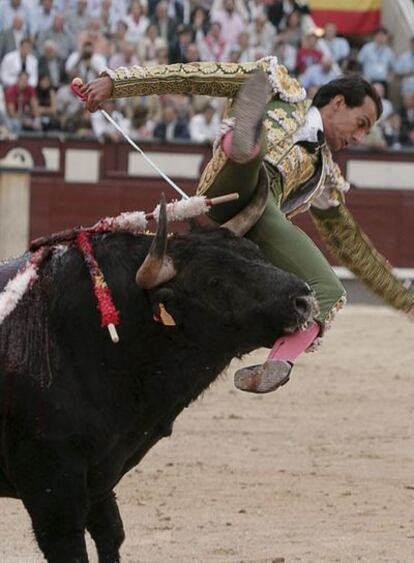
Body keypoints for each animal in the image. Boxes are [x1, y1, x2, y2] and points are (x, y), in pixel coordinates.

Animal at [0, 193, 314, 560]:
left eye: (257, 253)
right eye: (213, 283)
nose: (303, 300)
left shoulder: (101, 479)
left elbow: (111, 534)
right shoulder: (53, 494)